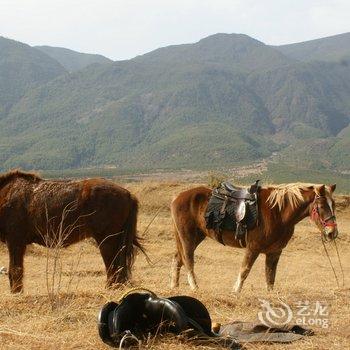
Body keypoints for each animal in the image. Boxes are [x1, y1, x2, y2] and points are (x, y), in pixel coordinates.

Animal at [0, 170, 144, 292]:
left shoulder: (15, 242)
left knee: (112, 264)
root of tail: (128, 194)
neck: (6, 195)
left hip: (107, 240)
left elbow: (15, 269)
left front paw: (16, 292)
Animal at [171, 183, 338, 292]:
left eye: (334, 204)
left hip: (196, 236)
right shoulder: (253, 248)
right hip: (187, 237)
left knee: (178, 259)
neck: (278, 213)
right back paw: (194, 287)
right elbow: (245, 270)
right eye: (321, 206)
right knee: (188, 260)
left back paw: (174, 286)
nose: (332, 233)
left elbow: (270, 276)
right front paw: (236, 291)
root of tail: (177, 197)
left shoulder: (274, 252)